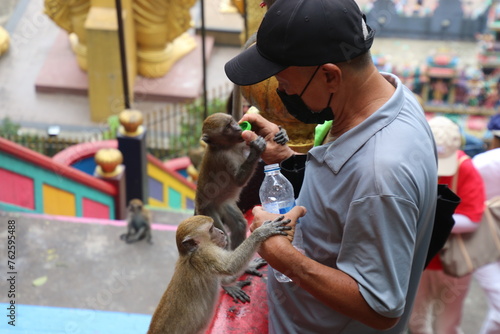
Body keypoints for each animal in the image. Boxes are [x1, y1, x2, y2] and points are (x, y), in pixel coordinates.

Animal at [146, 214, 292, 334]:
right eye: (211, 229)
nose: (222, 232)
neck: (190, 254)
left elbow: (225, 276)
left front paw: (248, 267)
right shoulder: (205, 254)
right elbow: (230, 266)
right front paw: (261, 232)